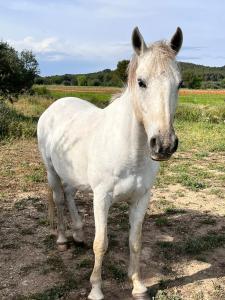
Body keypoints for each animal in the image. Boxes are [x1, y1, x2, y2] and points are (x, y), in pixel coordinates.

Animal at [37, 27, 183, 298]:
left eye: (180, 84)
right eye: (141, 82)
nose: (164, 145)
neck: (128, 150)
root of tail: (56, 105)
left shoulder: (141, 198)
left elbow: (134, 242)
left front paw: (138, 285)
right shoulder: (102, 197)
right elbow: (101, 244)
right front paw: (95, 289)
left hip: (73, 174)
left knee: (70, 194)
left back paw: (78, 233)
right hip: (51, 171)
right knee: (59, 199)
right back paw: (63, 239)